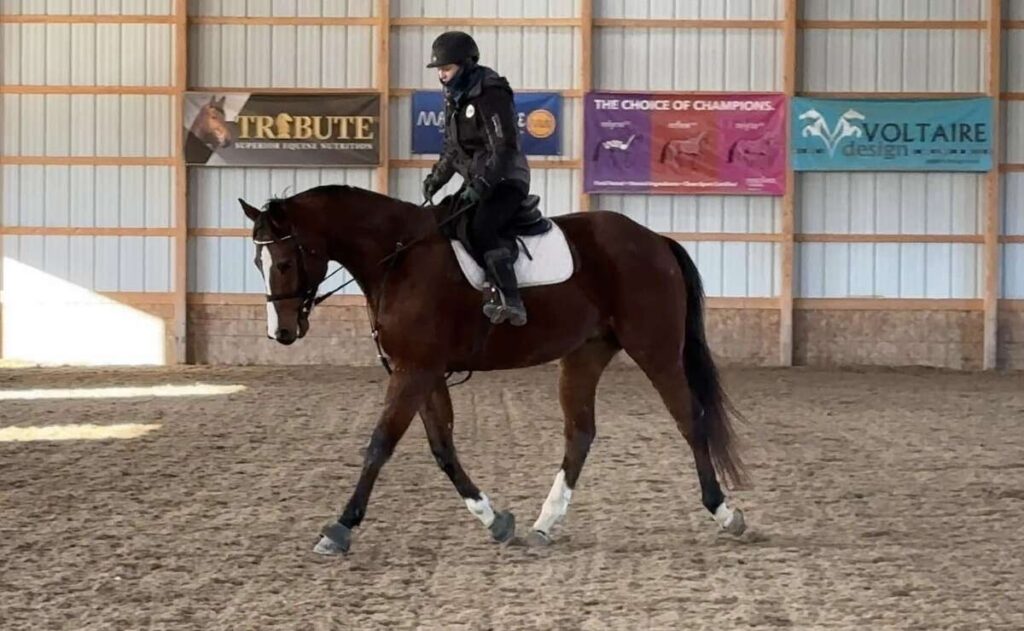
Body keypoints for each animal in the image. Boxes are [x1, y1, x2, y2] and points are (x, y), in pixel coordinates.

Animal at [239, 184, 753, 553]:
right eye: (257, 261)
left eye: (283, 262)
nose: (281, 332)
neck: (398, 257)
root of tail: (654, 240)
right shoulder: (422, 372)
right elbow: (443, 449)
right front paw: (497, 521)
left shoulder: (414, 371)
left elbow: (379, 445)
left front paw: (341, 528)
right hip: (585, 354)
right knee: (580, 433)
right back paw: (544, 524)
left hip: (656, 350)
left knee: (690, 420)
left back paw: (725, 513)